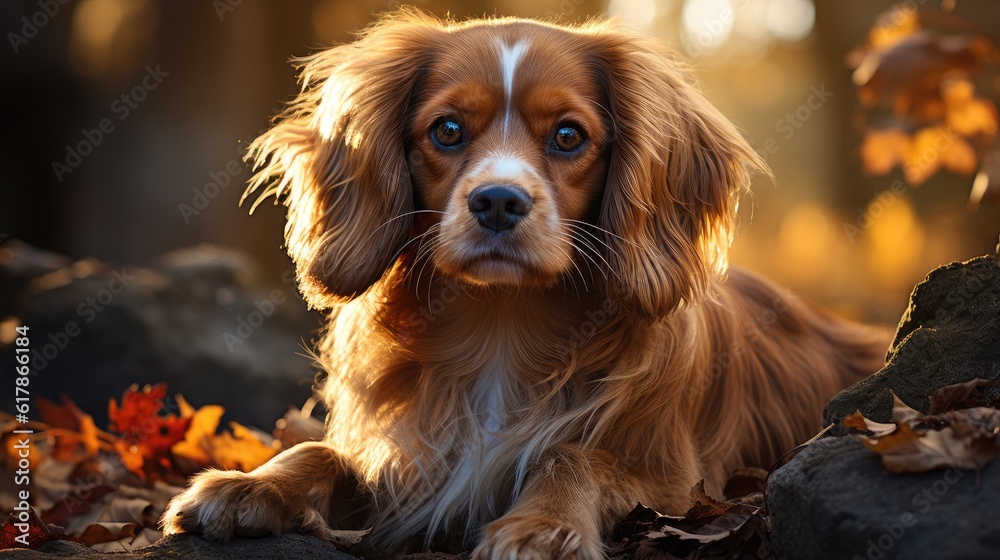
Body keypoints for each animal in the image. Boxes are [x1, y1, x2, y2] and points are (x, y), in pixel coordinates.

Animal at [164, 10, 892, 556]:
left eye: (568, 136)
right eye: (447, 130)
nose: (498, 201)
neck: (503, 323)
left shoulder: (680, 484)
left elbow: (570, 456)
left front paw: (543, 527)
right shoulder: (412, 463)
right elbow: (322, 451)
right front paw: (252, 485)